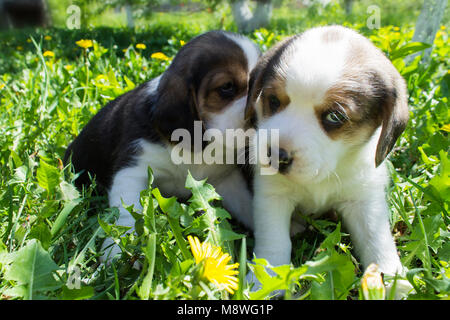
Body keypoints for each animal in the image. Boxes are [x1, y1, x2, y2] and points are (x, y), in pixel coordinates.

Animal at [64, 30, 260, 260]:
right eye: (227, 87)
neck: (198, 147)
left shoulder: (226, 180)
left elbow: (248, 205)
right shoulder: (133, 171)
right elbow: (126, 214)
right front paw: (117, 253)